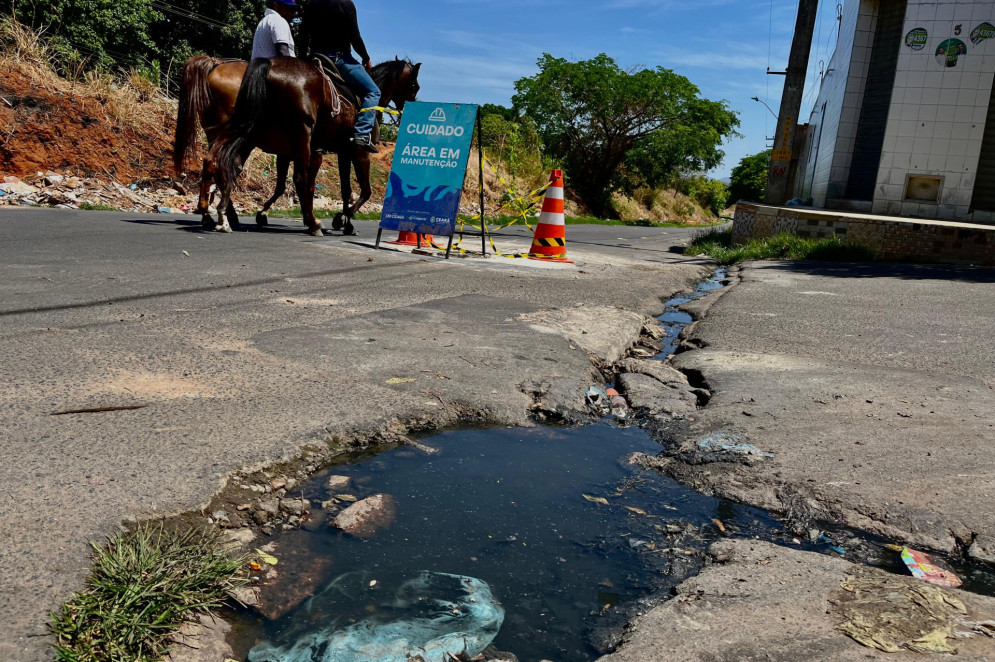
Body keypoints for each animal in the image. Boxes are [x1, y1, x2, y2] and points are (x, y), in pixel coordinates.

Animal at [172, 55, 420, 235]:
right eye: (414, 85)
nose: (409, 108)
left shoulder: (340, 152)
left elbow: (344, 189)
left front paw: (345, 221)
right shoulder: (354, 151)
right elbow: (361, 190)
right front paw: (339, 219)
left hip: (235, 135)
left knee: (215, 163)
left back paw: (213, 214)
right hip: (287, 136)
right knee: (236, 169)